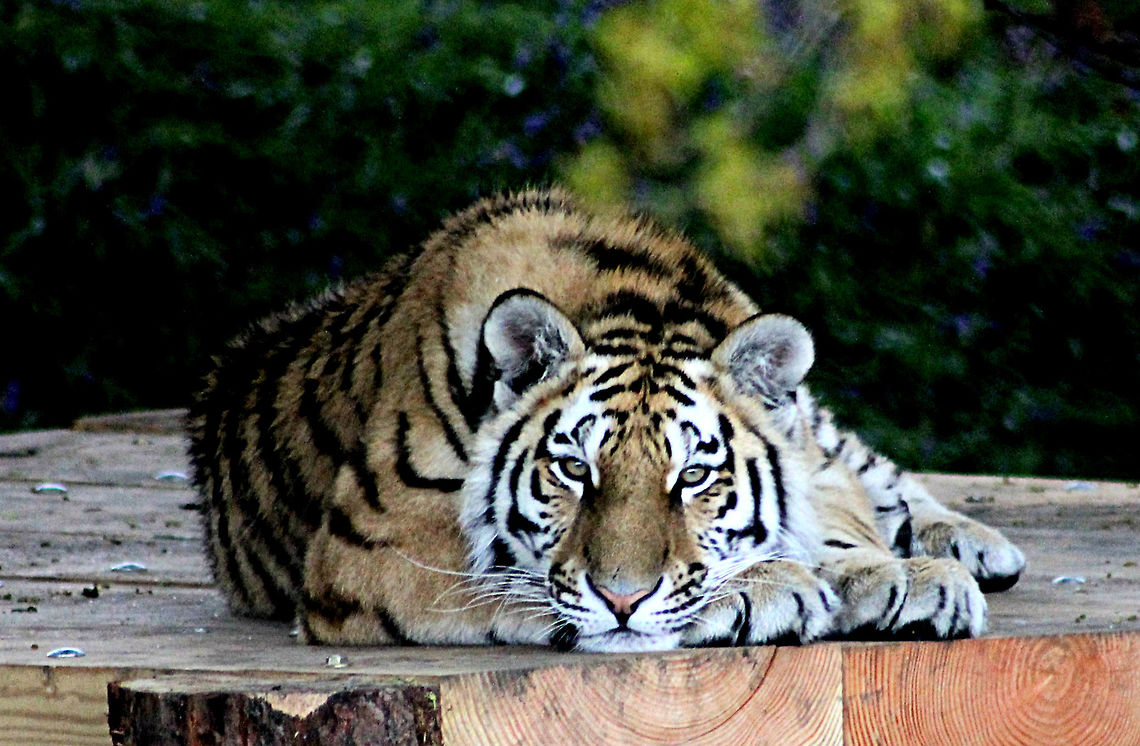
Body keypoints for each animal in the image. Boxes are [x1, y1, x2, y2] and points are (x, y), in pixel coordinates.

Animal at [187, 188, 1024, 652]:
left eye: (695, 475)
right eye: (573, 469)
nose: (624, 600)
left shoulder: (812, 470)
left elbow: (840, 523)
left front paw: (897, 576)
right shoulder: (377, 538)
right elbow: (510, 578)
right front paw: (775, 588)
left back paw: (979, 548)